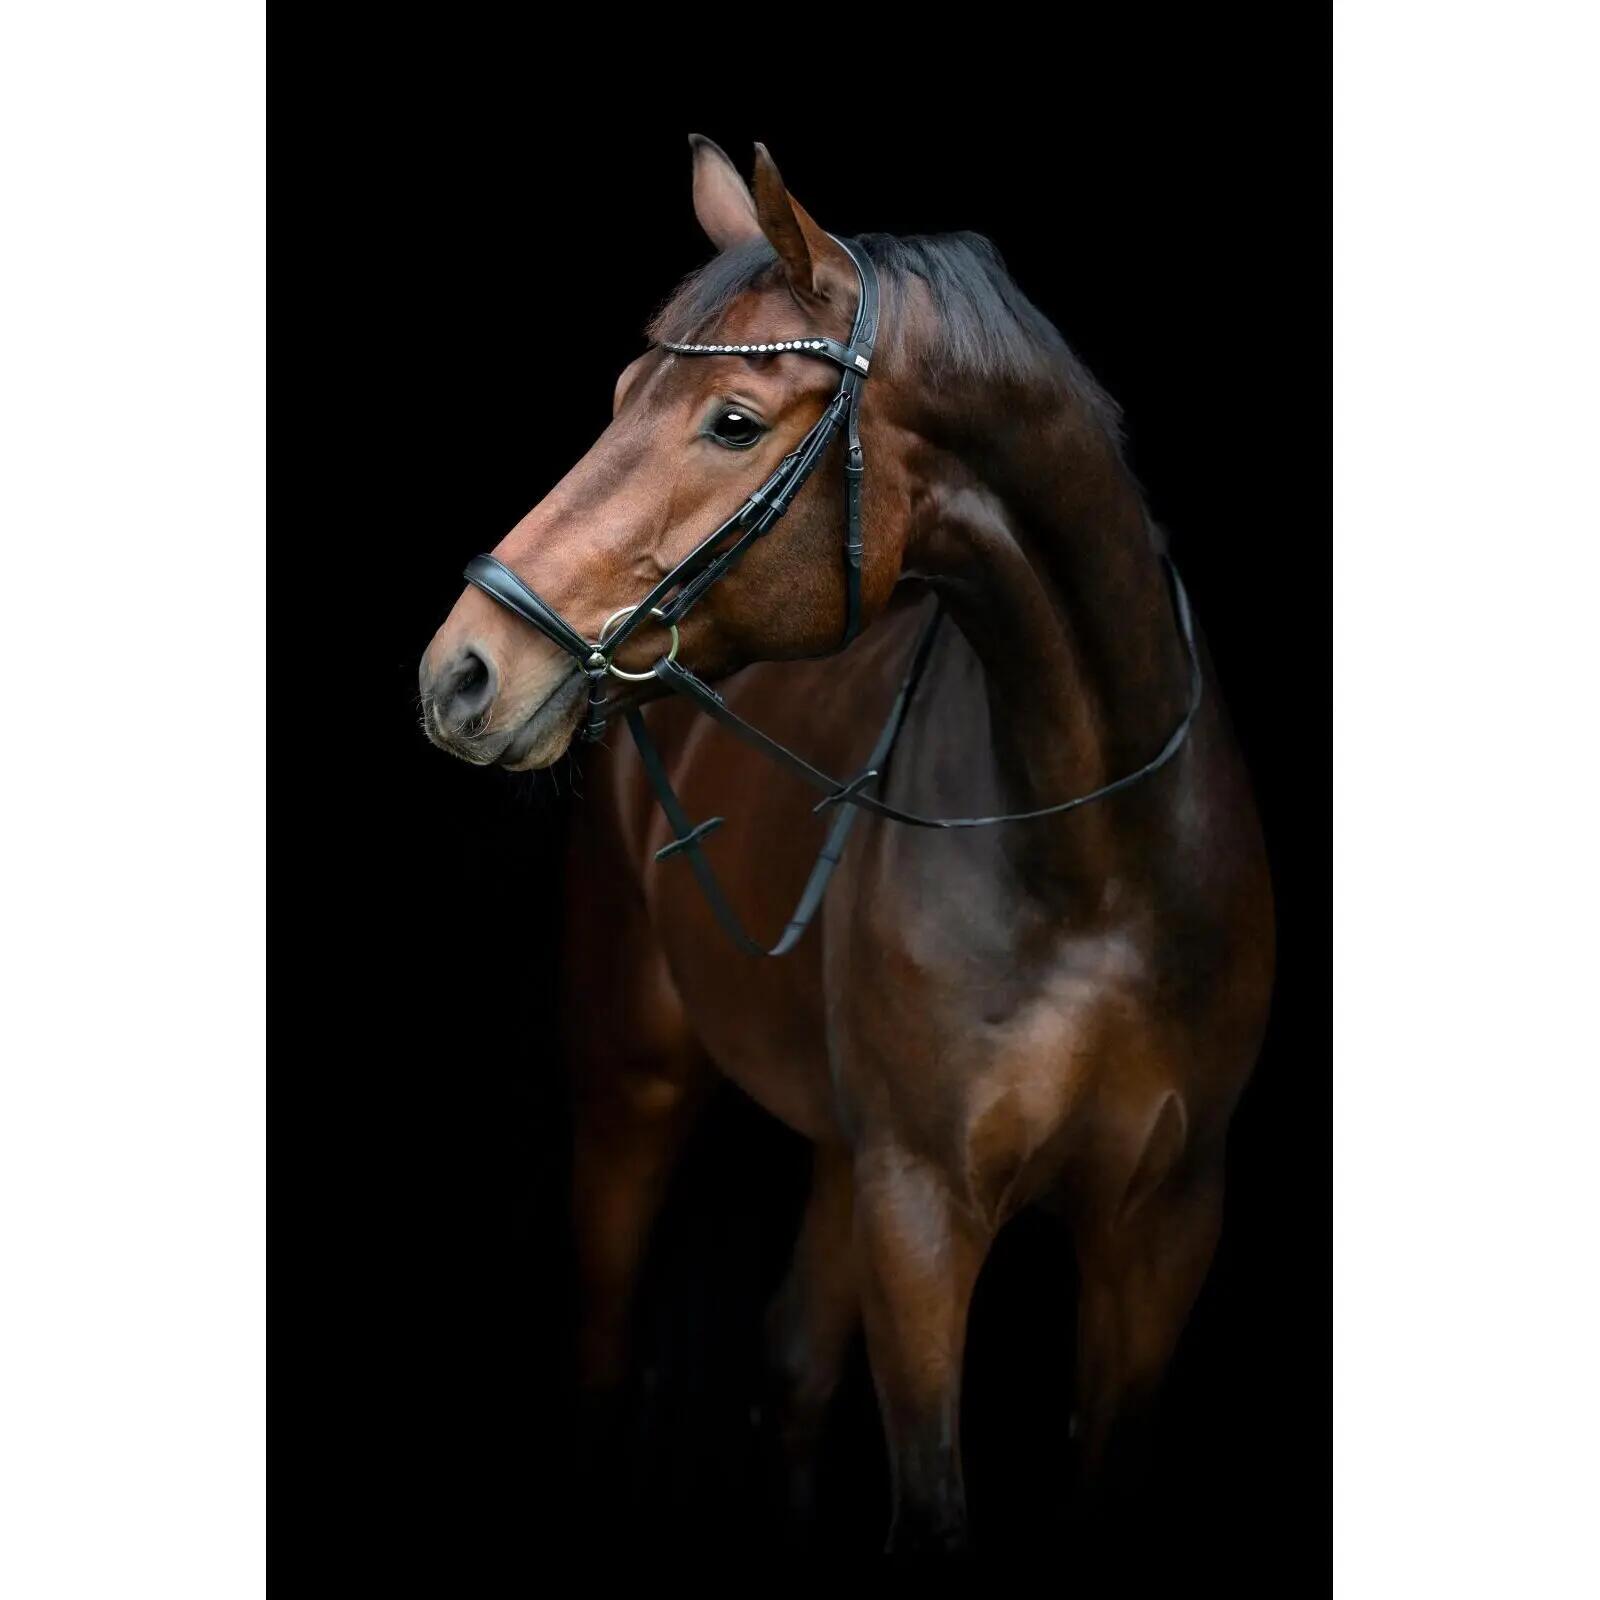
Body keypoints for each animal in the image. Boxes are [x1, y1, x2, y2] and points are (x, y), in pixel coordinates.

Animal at [418, 136, 1274, 1553]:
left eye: (732, 422)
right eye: (617, 394)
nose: (463, 672)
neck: (1097, 861)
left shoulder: (1164, 1225)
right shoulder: (920, 1211)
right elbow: (929, 1497)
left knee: (791, 1368)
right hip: (636, 1085)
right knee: (603, 1347)